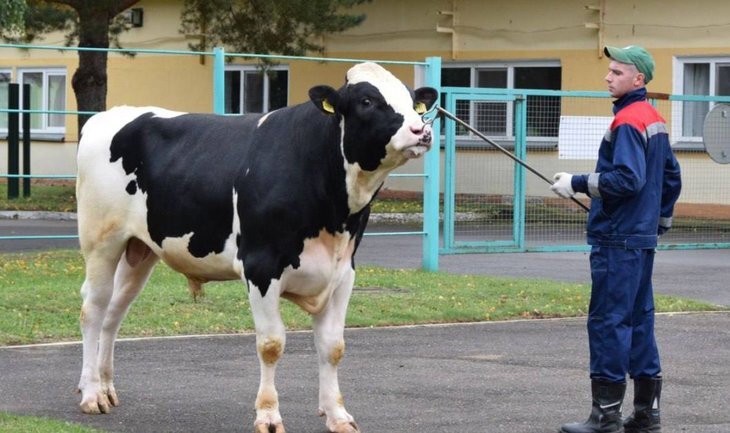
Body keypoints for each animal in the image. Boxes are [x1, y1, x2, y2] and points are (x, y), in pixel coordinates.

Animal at [75, 62, 437, 433]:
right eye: (367, 101)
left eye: (414, 102)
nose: (421, 129)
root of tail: (107, 116)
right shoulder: (261, 267)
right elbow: (271, 344)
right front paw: (268, 415)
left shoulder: (342, 272)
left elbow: (333, 346)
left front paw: (337, 416)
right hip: (101, 241)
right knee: (94, 309)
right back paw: (91, 394)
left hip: (139, 249)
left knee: (114, 313)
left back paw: (106, 387)